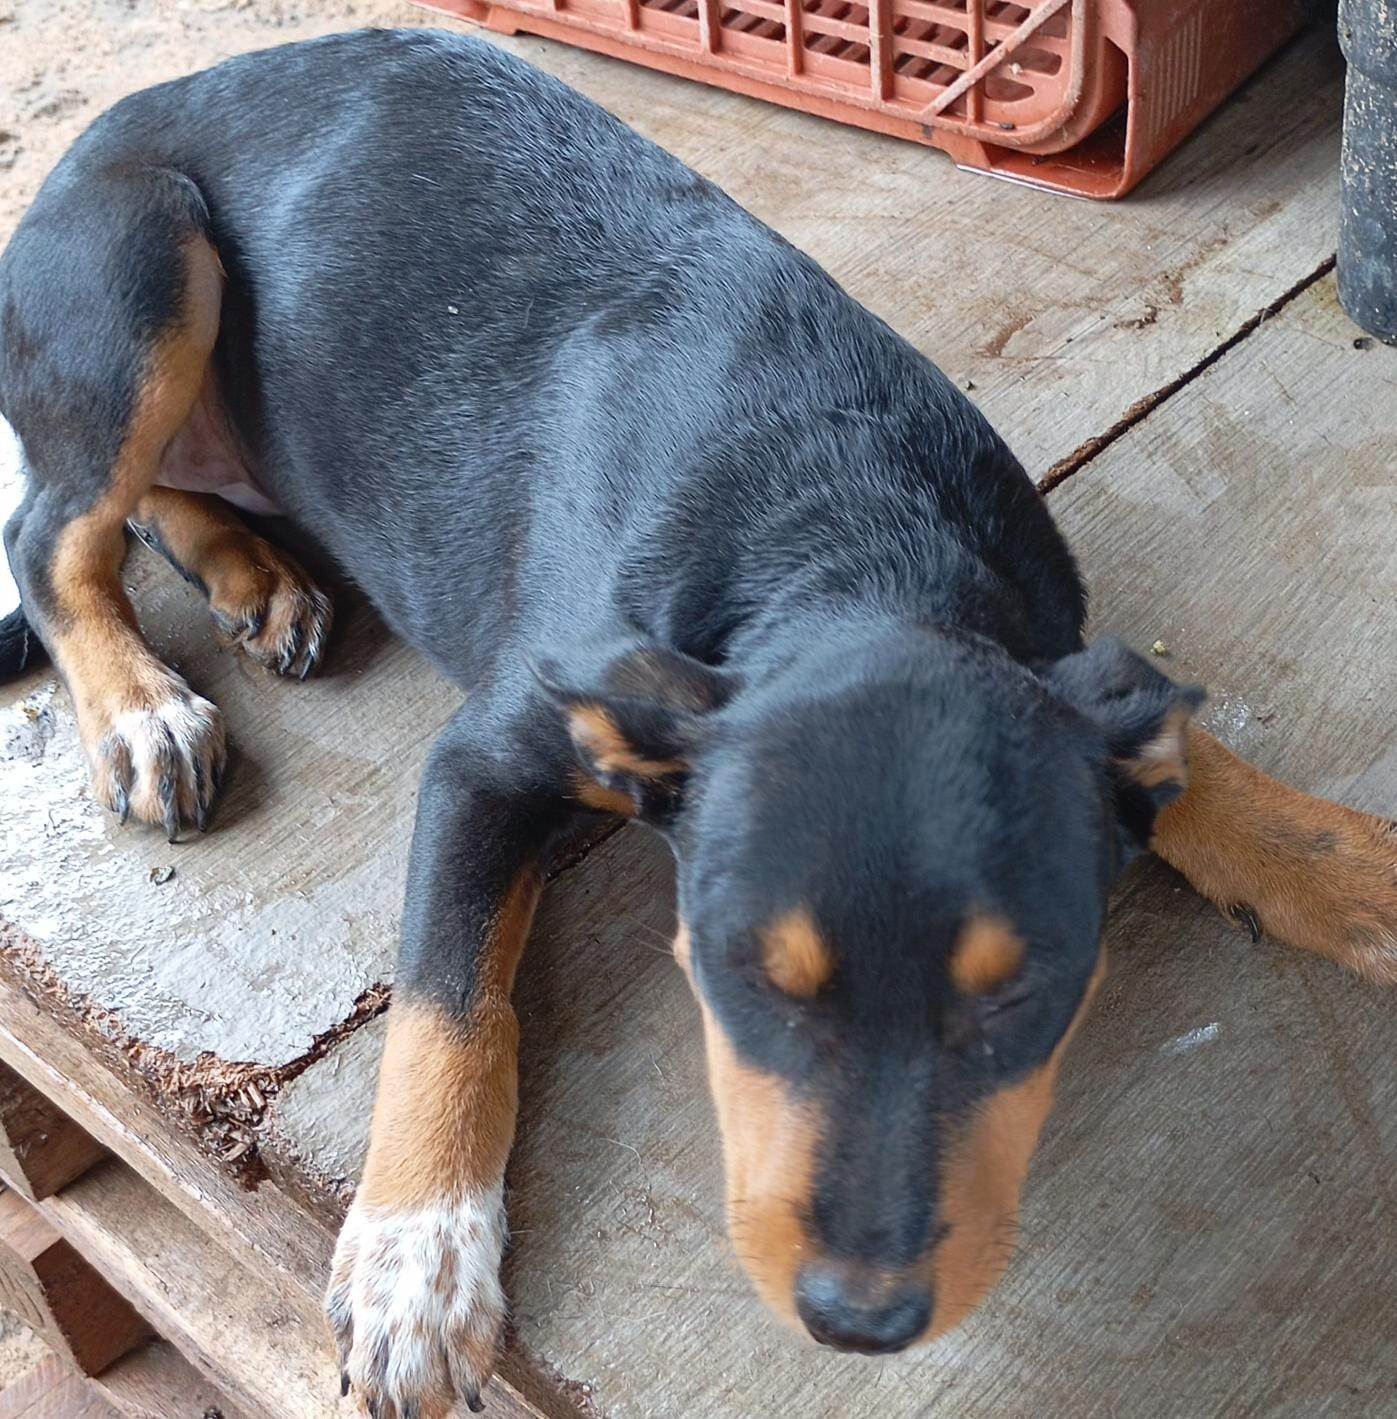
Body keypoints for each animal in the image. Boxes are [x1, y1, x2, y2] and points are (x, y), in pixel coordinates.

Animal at [2, 27, 1393, 1418]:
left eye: (1028, 992)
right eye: (737, 973)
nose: (859, 1320)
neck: (850, 541)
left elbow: (1166, 743)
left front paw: (1339, 864)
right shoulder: (489, 755)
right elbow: (451, 1000)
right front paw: (418, 1261)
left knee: (144, 500)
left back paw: (254, 577)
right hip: (146, 256)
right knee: (57, 526)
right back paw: (143, 707)